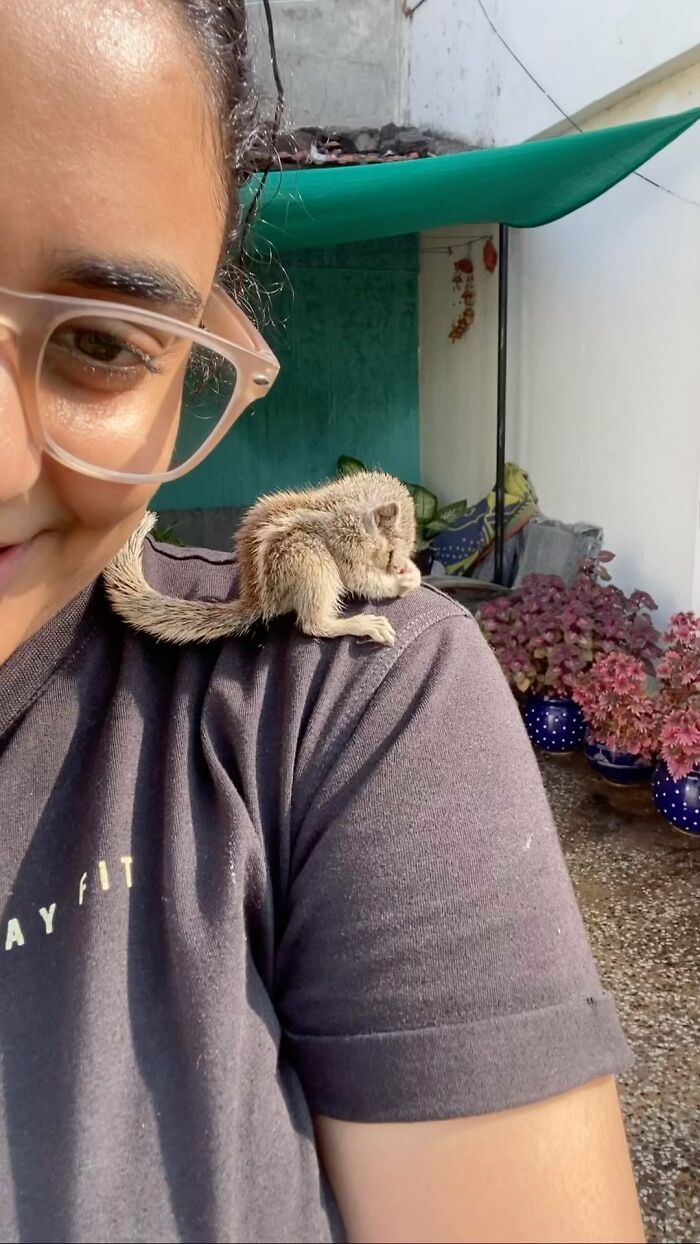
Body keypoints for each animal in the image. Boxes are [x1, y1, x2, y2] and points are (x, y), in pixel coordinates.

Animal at [102, 467, 422, 651]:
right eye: (390, 551)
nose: (397, 565)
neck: (349, 509)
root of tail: (260, 601)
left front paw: (413, 571)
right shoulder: (347, 547)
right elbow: (363, 581)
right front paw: (403, 582)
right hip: (310, 559)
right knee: (313, 624)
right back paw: (363, 624)